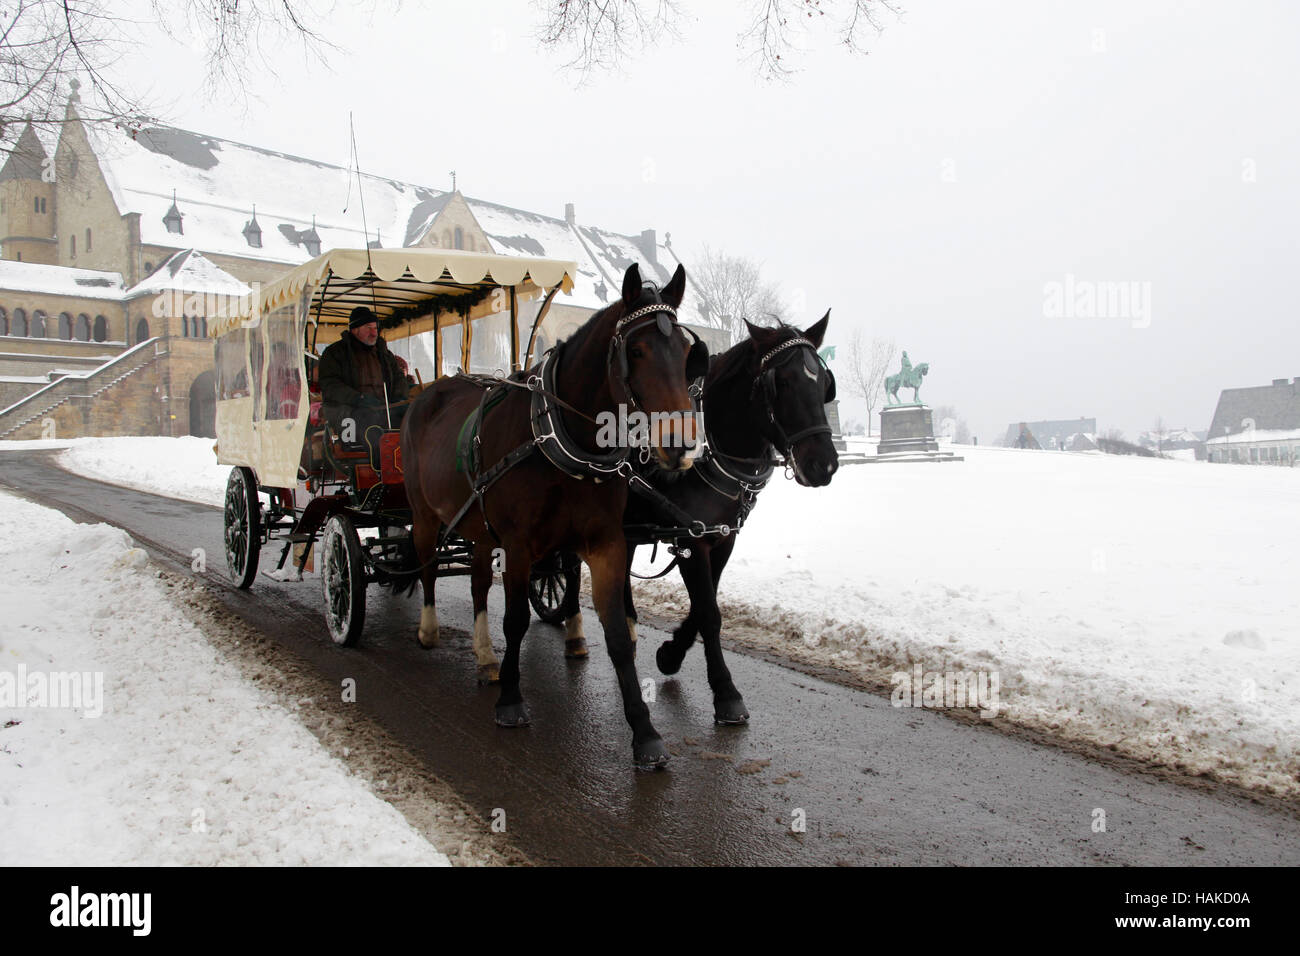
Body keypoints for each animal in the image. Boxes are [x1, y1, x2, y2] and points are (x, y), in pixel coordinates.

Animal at [400, 261, 702, 770]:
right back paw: (428, 629)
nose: (679, 445)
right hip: (425, 514)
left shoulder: (605, 543)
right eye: (636, 350)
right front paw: (511, 702)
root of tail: (429, 391)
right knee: (426, 567)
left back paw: (485, 658)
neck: (563, 441)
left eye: (685, 351)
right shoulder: (519, 545)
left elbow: (617, 633)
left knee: (478, 584)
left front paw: (644, 732)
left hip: (480, 527)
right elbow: (516, 620)